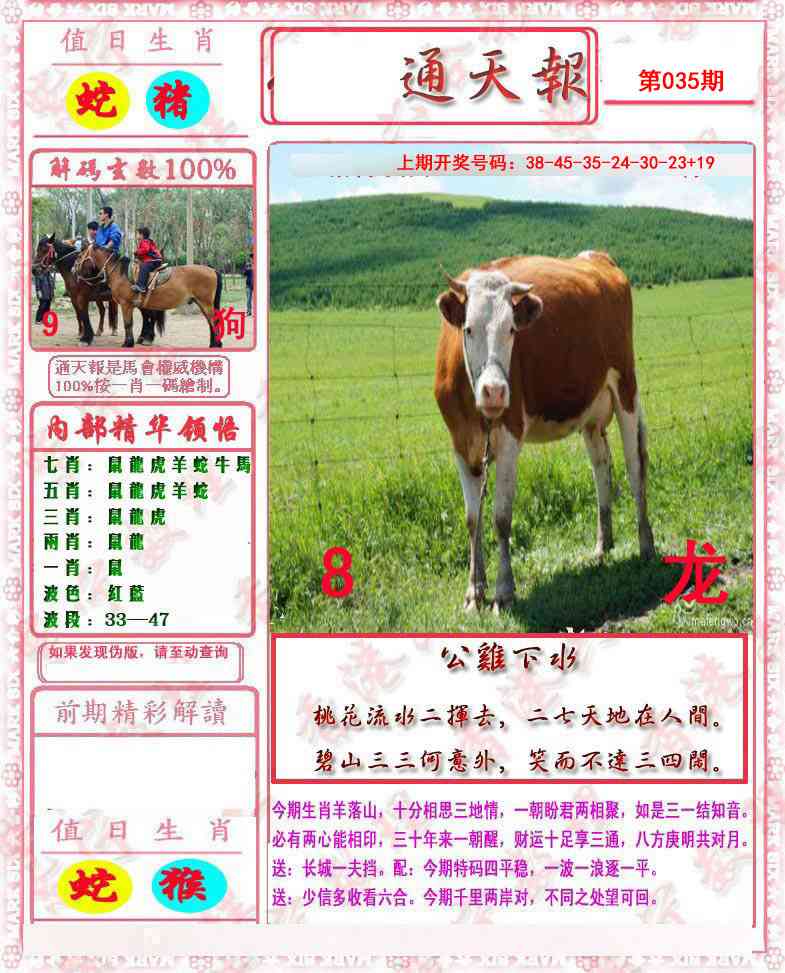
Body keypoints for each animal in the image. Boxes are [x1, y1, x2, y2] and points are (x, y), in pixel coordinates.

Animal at [75, 243, 223, 349]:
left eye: (80, 255)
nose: (73, 270)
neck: (121, 273)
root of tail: (212, 270)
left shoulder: (126, 304)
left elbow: (128, 323)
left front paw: (128, 343)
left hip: (205, 303)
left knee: (213, 322)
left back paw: (216, 344)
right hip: (201, 303)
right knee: (210, 322)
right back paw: (213, 344)